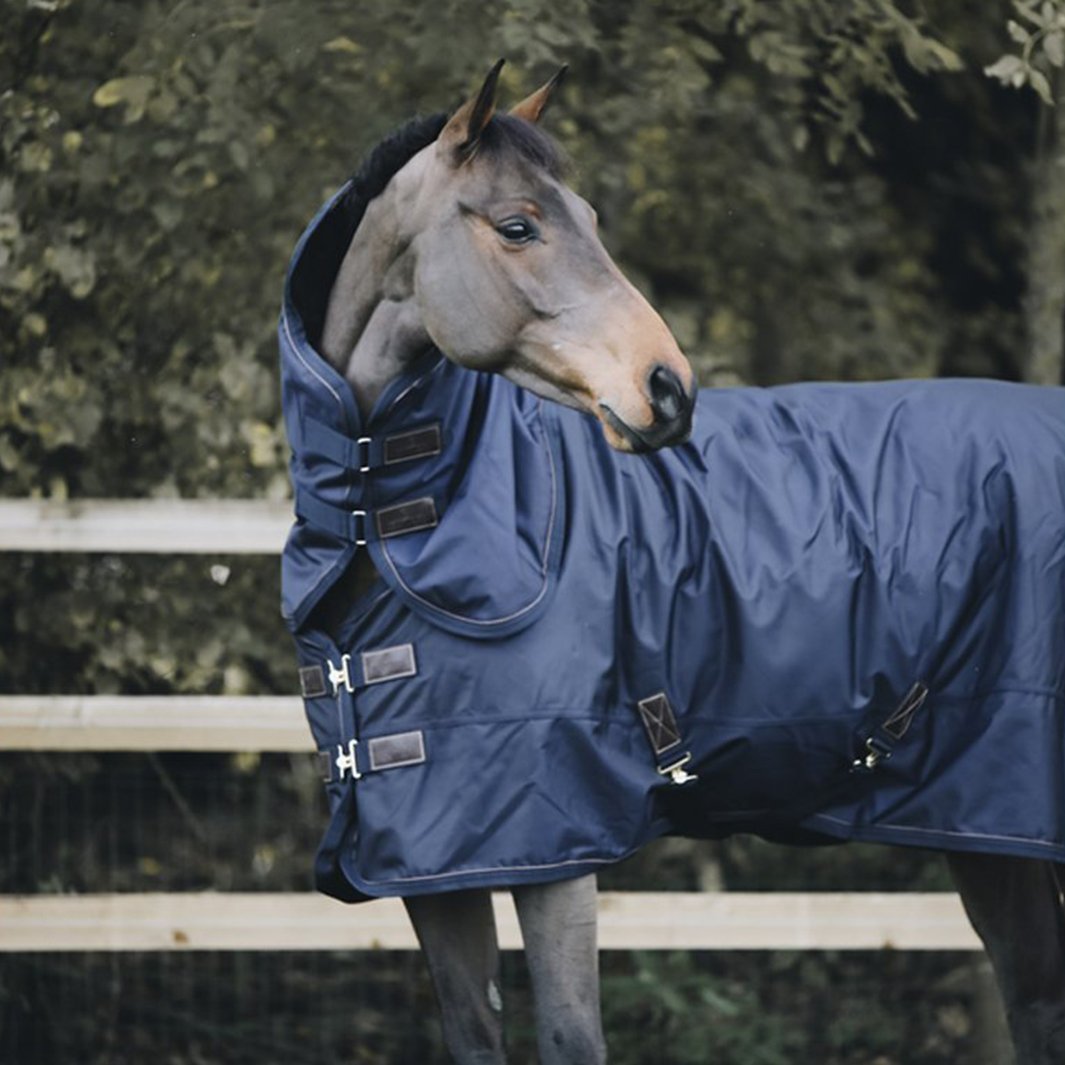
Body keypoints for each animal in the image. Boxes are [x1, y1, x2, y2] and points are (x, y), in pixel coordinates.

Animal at [278, 62, 1065, 1064]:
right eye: (518, 225)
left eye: (588, 217)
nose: (667, 388)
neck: (400, 521)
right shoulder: (434, 861)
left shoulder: (554, 847)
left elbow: (571, 1036)